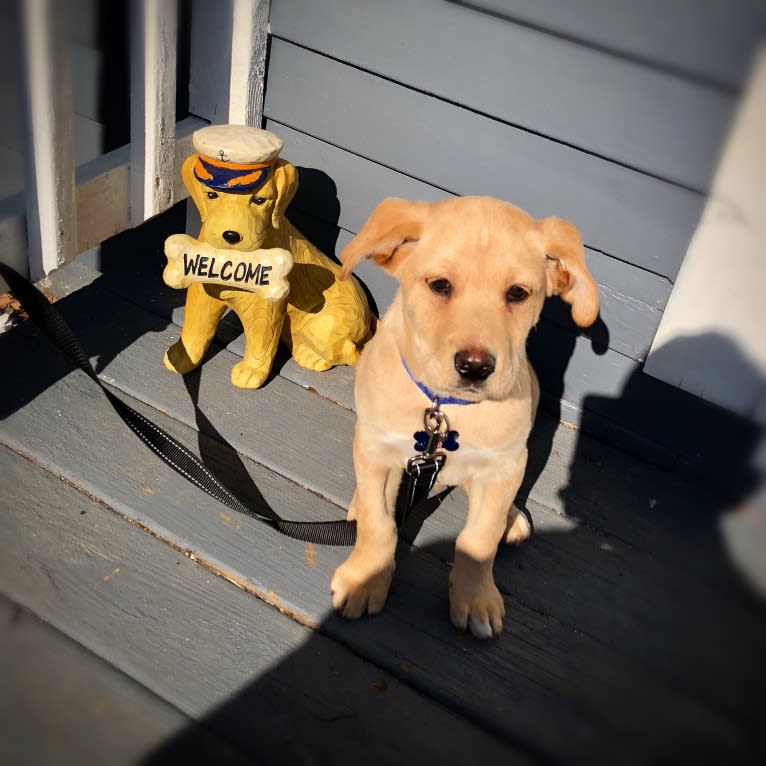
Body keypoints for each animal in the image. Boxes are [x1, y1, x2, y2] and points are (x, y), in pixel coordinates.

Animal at [166, 129, 376, 390]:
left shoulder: (267, 304)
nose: (231, 236)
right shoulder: (203, 290)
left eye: (259, 200)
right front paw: (183, 356)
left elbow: (262, 338)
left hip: (323, 327)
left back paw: (312, 357)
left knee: (350, 352)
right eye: (211, 195)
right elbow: (196, 327)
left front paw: (252, 371)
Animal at [332, 196, 600, 640]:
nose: (475, 367)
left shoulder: (505, 465)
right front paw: (365, 579)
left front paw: (475, 599)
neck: (445, 409)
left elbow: (479, 540)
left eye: (518, 293)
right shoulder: (376, 447)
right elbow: (378, 521)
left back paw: (511, 518)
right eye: (440, 285)